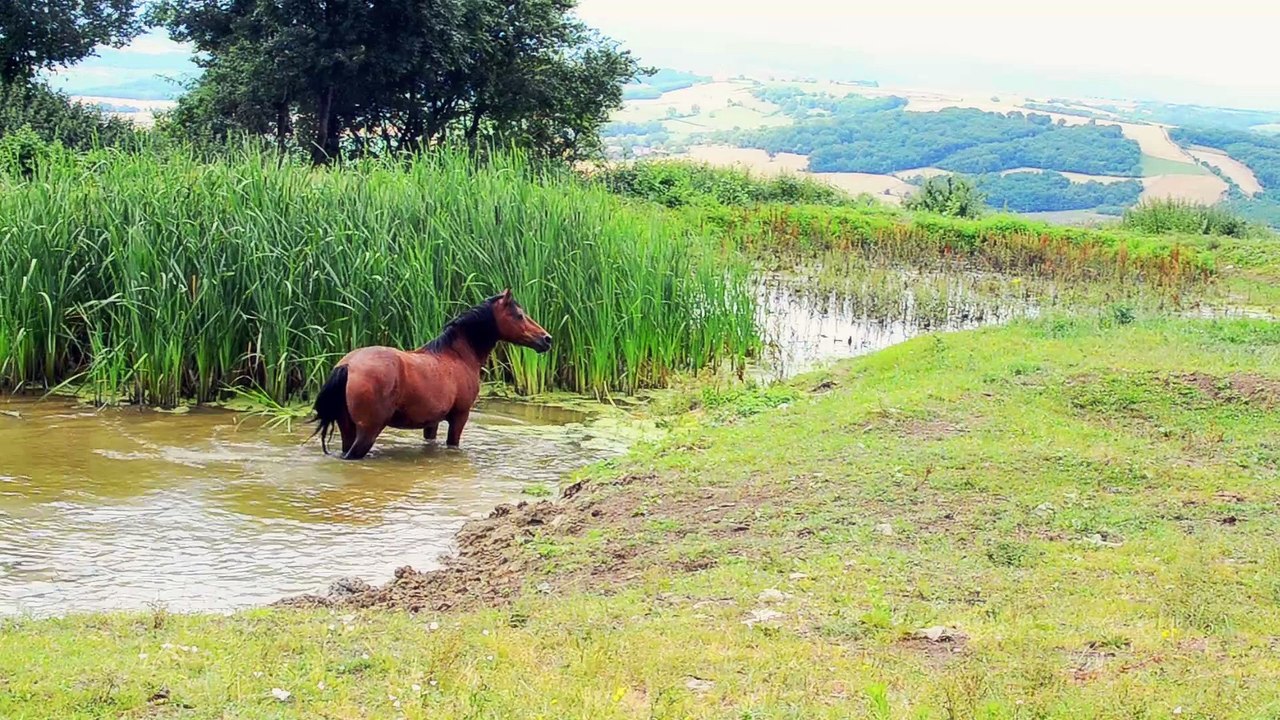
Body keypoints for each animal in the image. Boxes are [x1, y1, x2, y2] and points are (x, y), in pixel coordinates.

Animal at [310, 289, 552, 460]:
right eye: (519, 315)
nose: (546, 339)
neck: (457, 355)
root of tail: (348, 366)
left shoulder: (431, 422)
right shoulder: (459, 417)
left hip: (347, 428)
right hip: (367, 432)